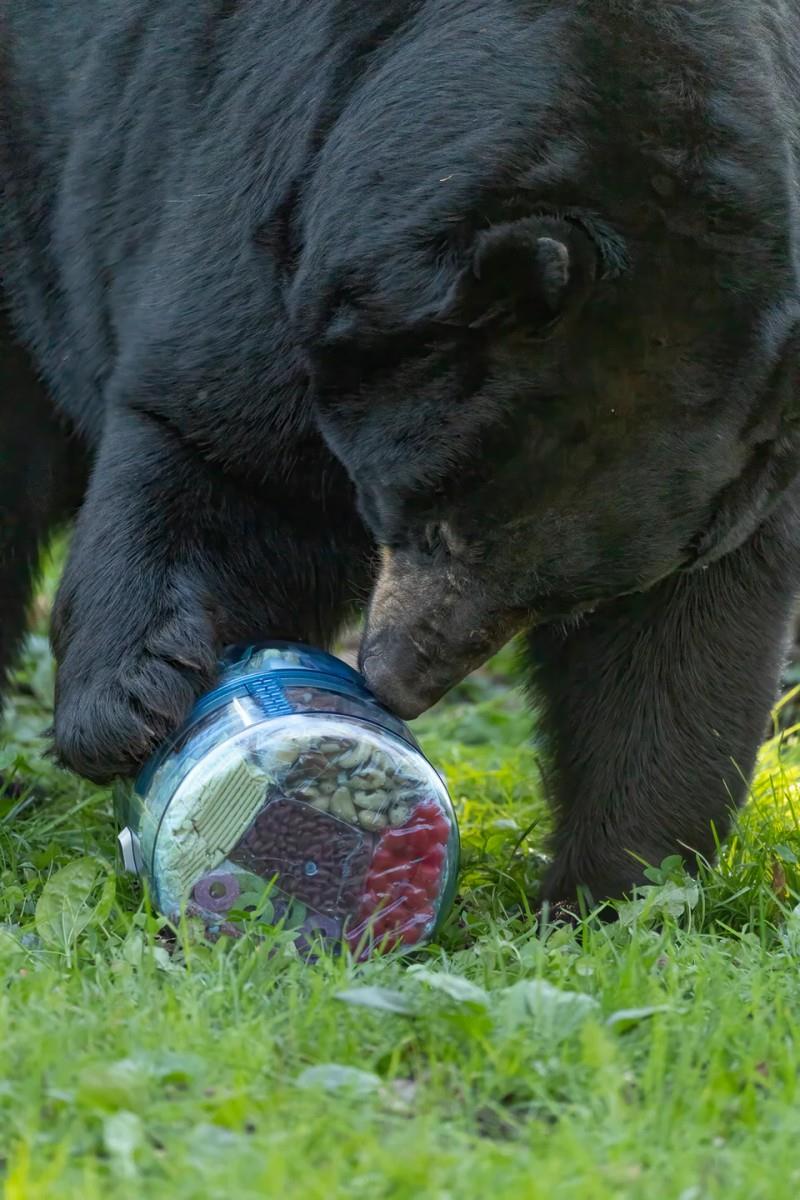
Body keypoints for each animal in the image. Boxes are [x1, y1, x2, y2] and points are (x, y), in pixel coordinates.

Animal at [2, 0, 800, 905]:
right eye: (431, 523)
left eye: (560, 599)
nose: (394, 683)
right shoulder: (280, 174)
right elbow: (221, 451)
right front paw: (124, 707)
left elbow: (679, 640)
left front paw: (611, 889)